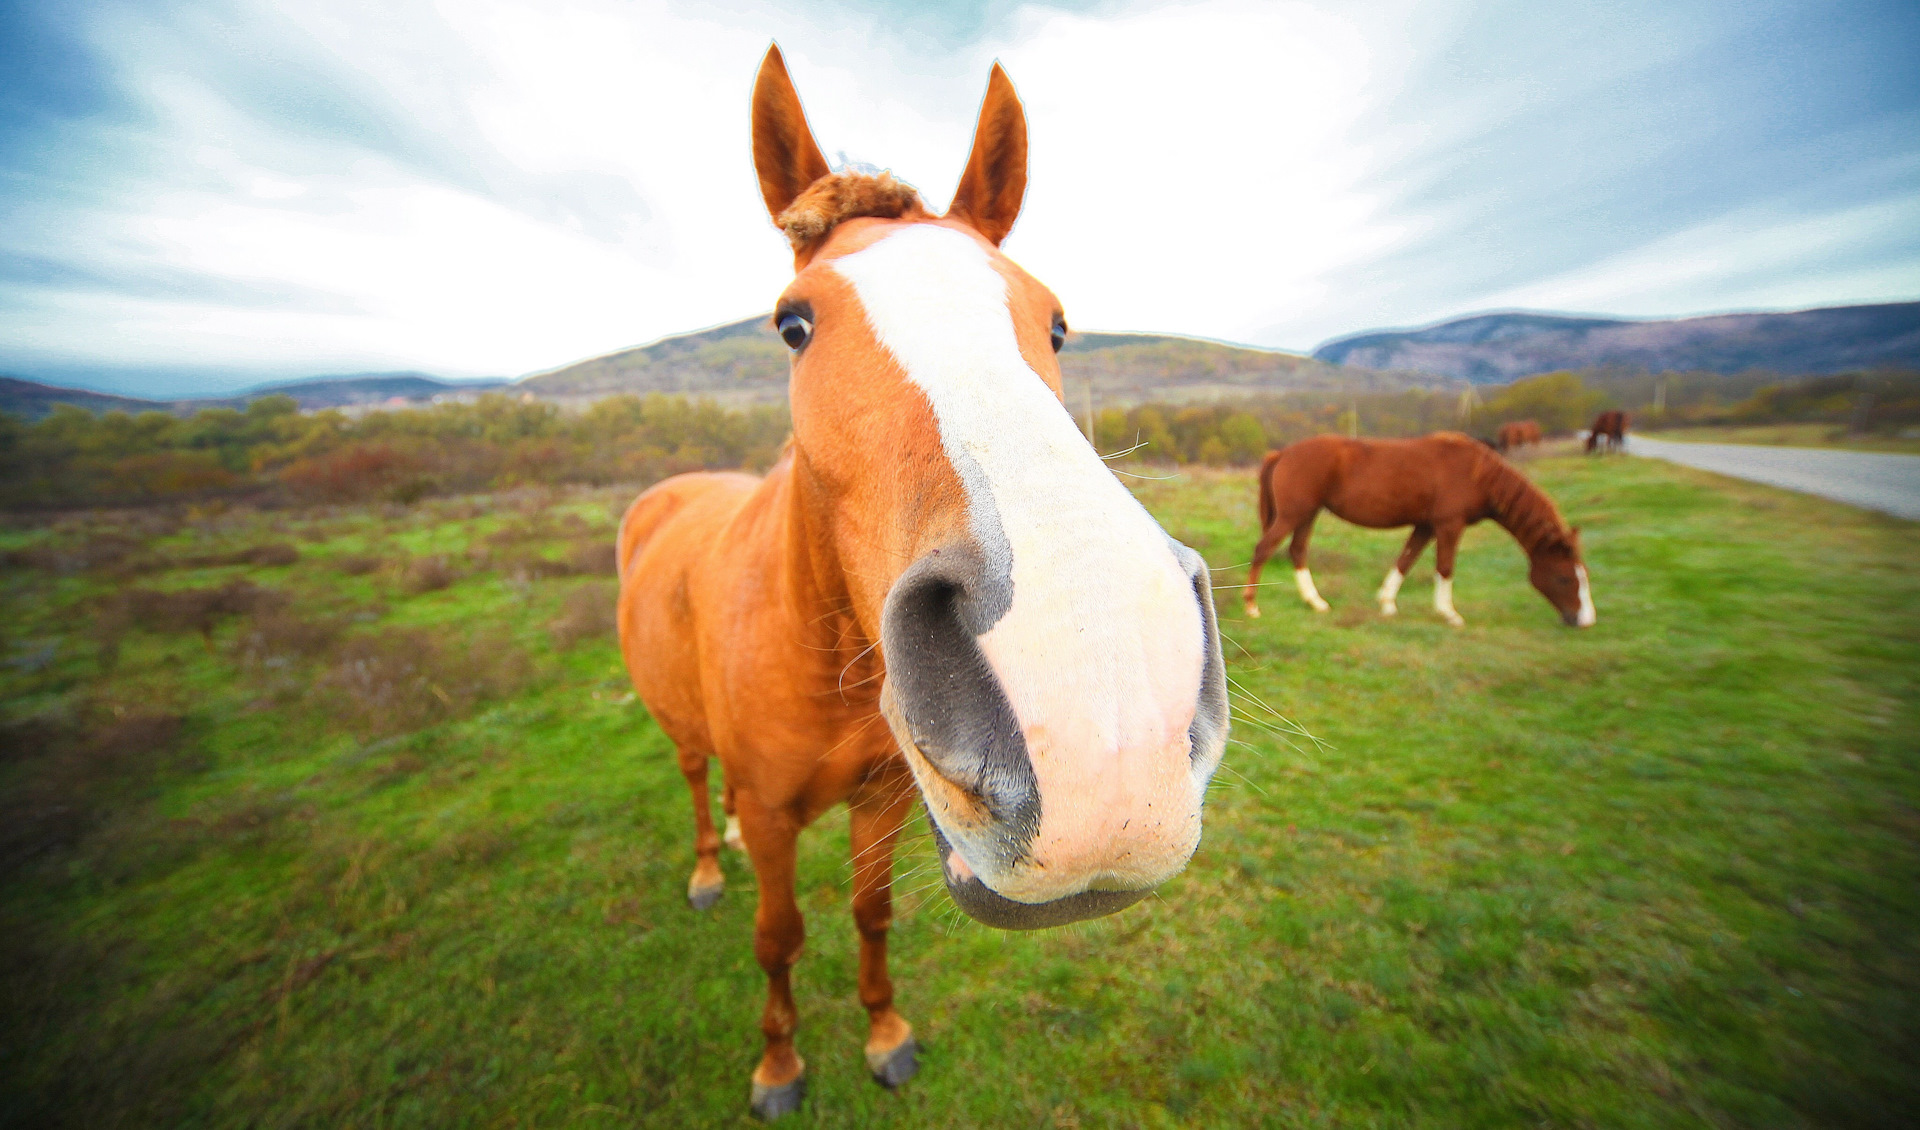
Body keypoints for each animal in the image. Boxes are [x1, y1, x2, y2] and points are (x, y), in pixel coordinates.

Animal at [618, 46, 1228, 1120]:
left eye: (1057, 324)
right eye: (792, 325)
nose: (1101, 718)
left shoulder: (882, 802)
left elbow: (871, 914)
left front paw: (885, 1035)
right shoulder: (776, 817)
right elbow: (778, 938)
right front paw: (778, 1067)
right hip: (681, 729)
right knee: (695, 776)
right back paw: (704, 865)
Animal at [1236, 429, 1597, 625]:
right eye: (1564, 577)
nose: (1585, 621)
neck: (1478, 473)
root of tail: (1282, 452)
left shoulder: (1425, 526)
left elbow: (1405, 561)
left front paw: (1386, 603)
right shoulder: (1449, 525)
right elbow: (1445, 567)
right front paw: (1449, 614)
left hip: (1308, 515)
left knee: (1297, 551)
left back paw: (1316, 602)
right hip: (1293, 514)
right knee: (1264, 549)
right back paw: (1251, 606)